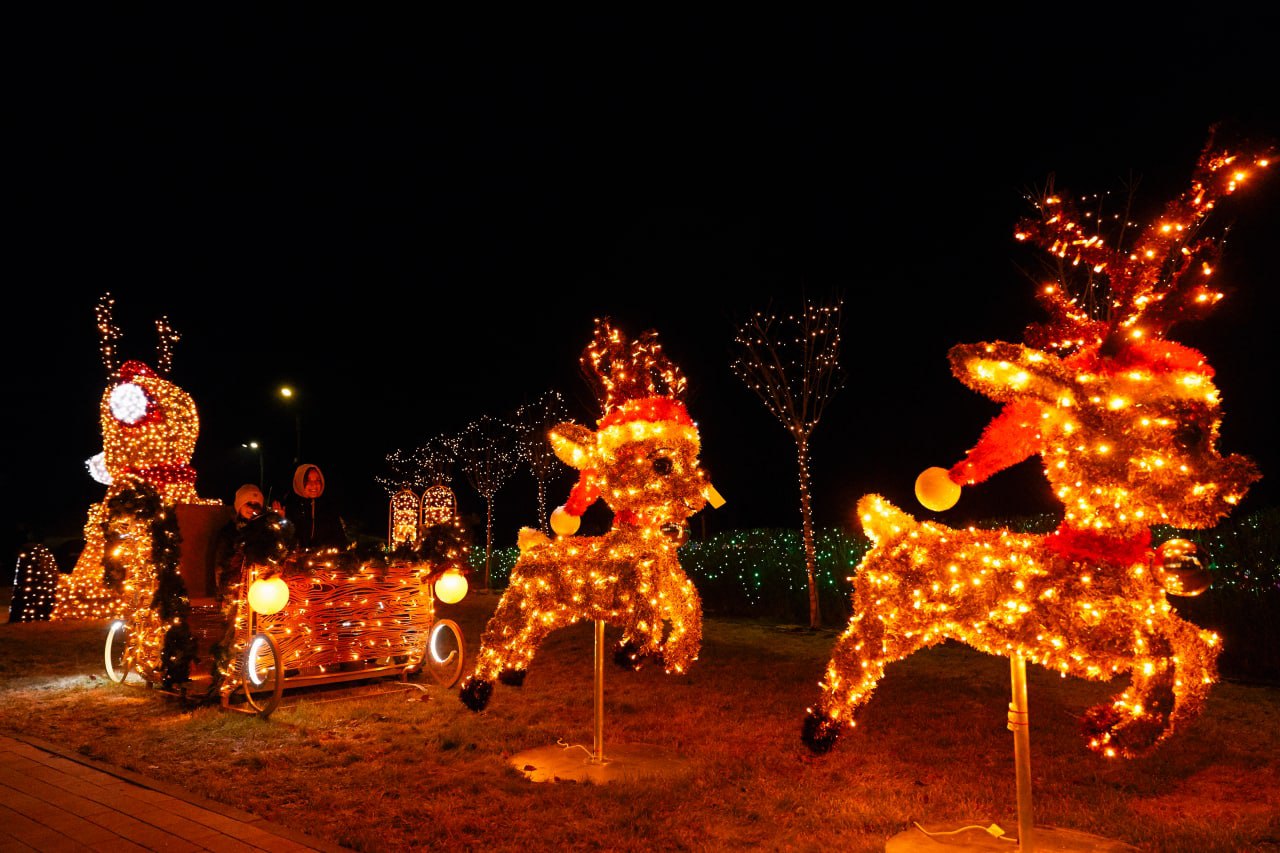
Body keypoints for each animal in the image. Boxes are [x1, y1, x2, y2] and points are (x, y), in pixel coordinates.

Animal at [459, 318, 723, 711]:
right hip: (520, 600)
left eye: (695, 458)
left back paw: (514, 673)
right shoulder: (632, 589)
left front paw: (675, 656)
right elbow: (646, 616)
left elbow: (690, 608)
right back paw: (476, 690)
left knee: (529, 633)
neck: (645, 544)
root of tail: (531, 545)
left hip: (550, 608)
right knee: (496, 635)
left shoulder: (674, 589)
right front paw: (631, 653)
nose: (699, 494)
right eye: (662, 463)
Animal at [803, 138, 1270, 759]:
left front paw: (1122, 722)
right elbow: (1161, 653)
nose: (1242, 478)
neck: (1100, 555)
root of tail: (897, 528)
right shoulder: (1085, 632)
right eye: (1187, 434)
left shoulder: (1139, 622)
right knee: (850, 662)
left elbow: (1195, 645)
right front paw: (1132, 725)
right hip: (886, 622)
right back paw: (821, 728)